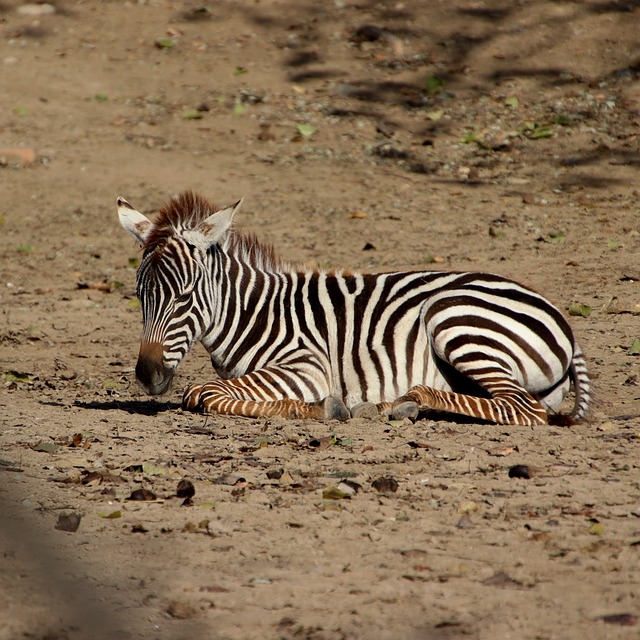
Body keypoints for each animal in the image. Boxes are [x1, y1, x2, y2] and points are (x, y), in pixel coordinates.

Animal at [119, 192, 592, 428]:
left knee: (523, 410)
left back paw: (408, 400)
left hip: (454, 319)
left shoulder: (307, 365)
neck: (254, 312)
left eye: (183, 297)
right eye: (141, 297)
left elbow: (203, 394)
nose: (147, 377)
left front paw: (324, 408)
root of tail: (563, 323)